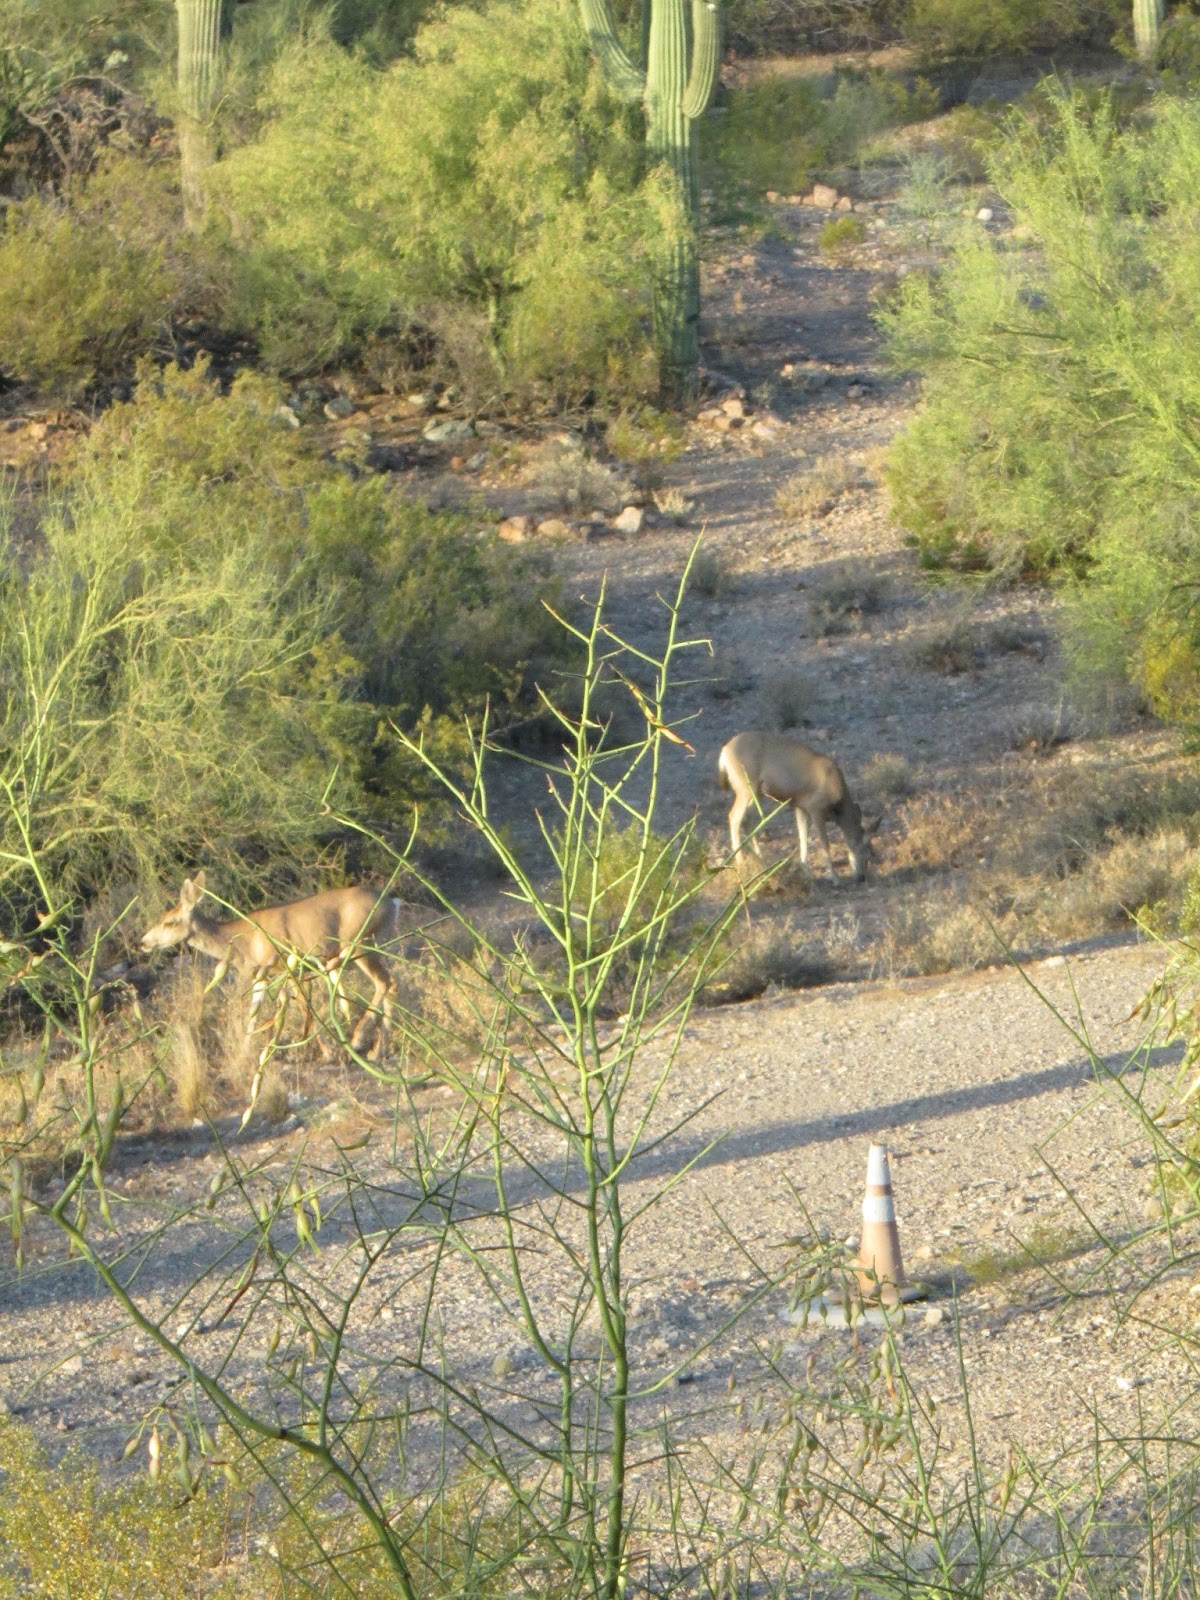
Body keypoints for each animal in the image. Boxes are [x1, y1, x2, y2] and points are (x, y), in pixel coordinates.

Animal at [140, 872, 403, 1068]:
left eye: (170, 922)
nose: (143, 942)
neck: (243, 943)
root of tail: (393, 903)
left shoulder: (285, 966)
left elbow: (303, 1007)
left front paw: (327, 1053)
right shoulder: (262, 976)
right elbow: (253, 1014)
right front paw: (244, 1054)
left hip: (359, 944)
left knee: (384, 983)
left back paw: (358, 1041)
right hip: (374, 947)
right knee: (392, 983)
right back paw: (379, 1051)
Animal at [717, 731, 877, 882]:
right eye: (866, 852)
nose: (861, 877)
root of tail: (724, 752)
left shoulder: (801, 808)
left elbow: (803, 837)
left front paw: (807, 872)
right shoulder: (816, 809)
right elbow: (825, 843)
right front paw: (834, 878)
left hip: (757, 792)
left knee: (748, 820)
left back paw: (761, 860)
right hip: (745, 788)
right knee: (734, 817)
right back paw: (741, 862)